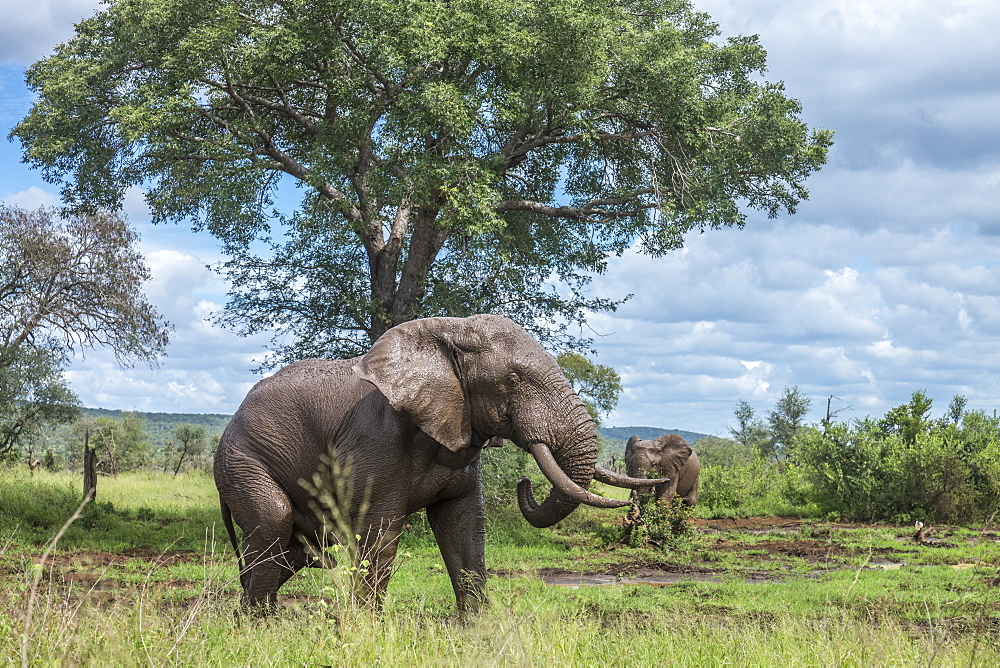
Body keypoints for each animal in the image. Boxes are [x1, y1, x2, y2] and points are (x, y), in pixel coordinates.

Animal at [215, 314, 660, 616]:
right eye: (513, 380)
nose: (524, 481)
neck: (448, 332)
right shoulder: (375, 439)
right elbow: (379, 530)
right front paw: (369, 629)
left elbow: (462, 524)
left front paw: (478, 628)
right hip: (244, 460)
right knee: (274, 522)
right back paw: (258, 625)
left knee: (297, 550)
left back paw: (250, 618)